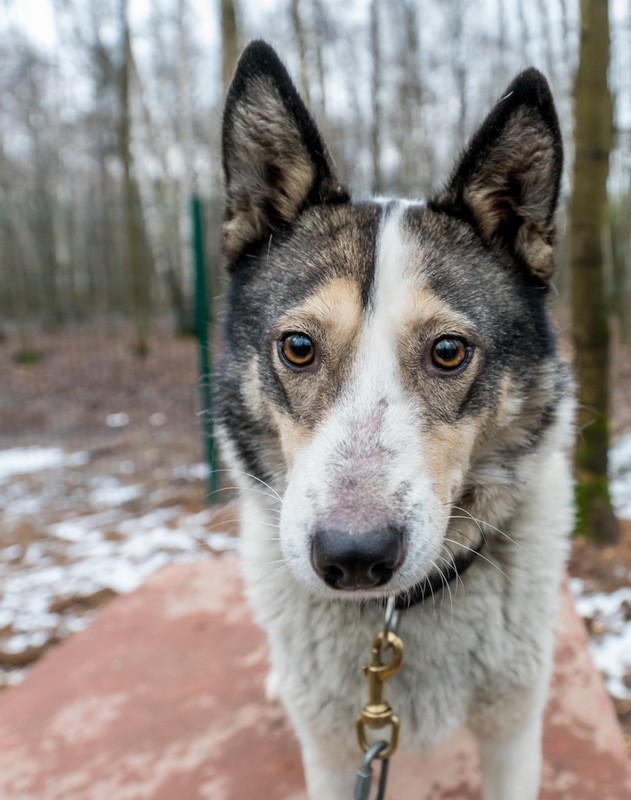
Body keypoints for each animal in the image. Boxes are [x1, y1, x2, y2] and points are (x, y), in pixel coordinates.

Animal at [215, 40, 576, 796]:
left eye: (448, 351)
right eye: (298, 347)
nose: (353, 559)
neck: (396, 618)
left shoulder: (512, 732)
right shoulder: (332, 752)